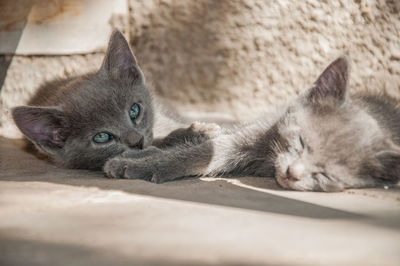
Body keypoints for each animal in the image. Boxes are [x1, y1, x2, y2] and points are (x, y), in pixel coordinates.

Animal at [105, 54, 400, 191]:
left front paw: (135, 163)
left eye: (325, 175)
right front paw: (134, 162)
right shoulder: (249, 134)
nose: (292, 173)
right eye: (300, 141)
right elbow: (196, 154)